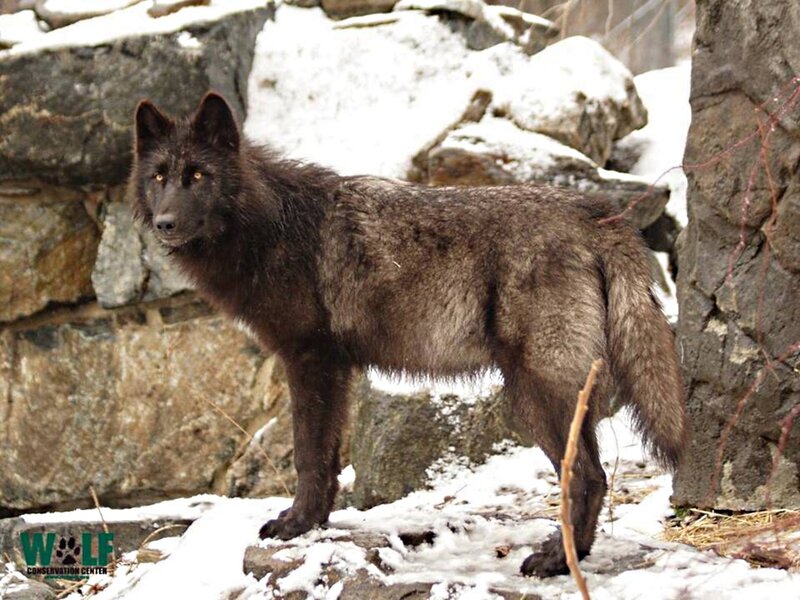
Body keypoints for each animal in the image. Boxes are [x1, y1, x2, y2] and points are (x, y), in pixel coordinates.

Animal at [128, 92, 686, 578]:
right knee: (594, 475)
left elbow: (308, 455)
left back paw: (556, 561)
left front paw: (295, 526)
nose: (165, 223)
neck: (270, 223)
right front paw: (315, 524)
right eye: (159, 177)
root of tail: (599, 213)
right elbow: (329, 461)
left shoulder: (309, 361)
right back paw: (574, 555)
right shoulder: (336, 372)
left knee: (588, 476)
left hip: (534, 395)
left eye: (198, 176)